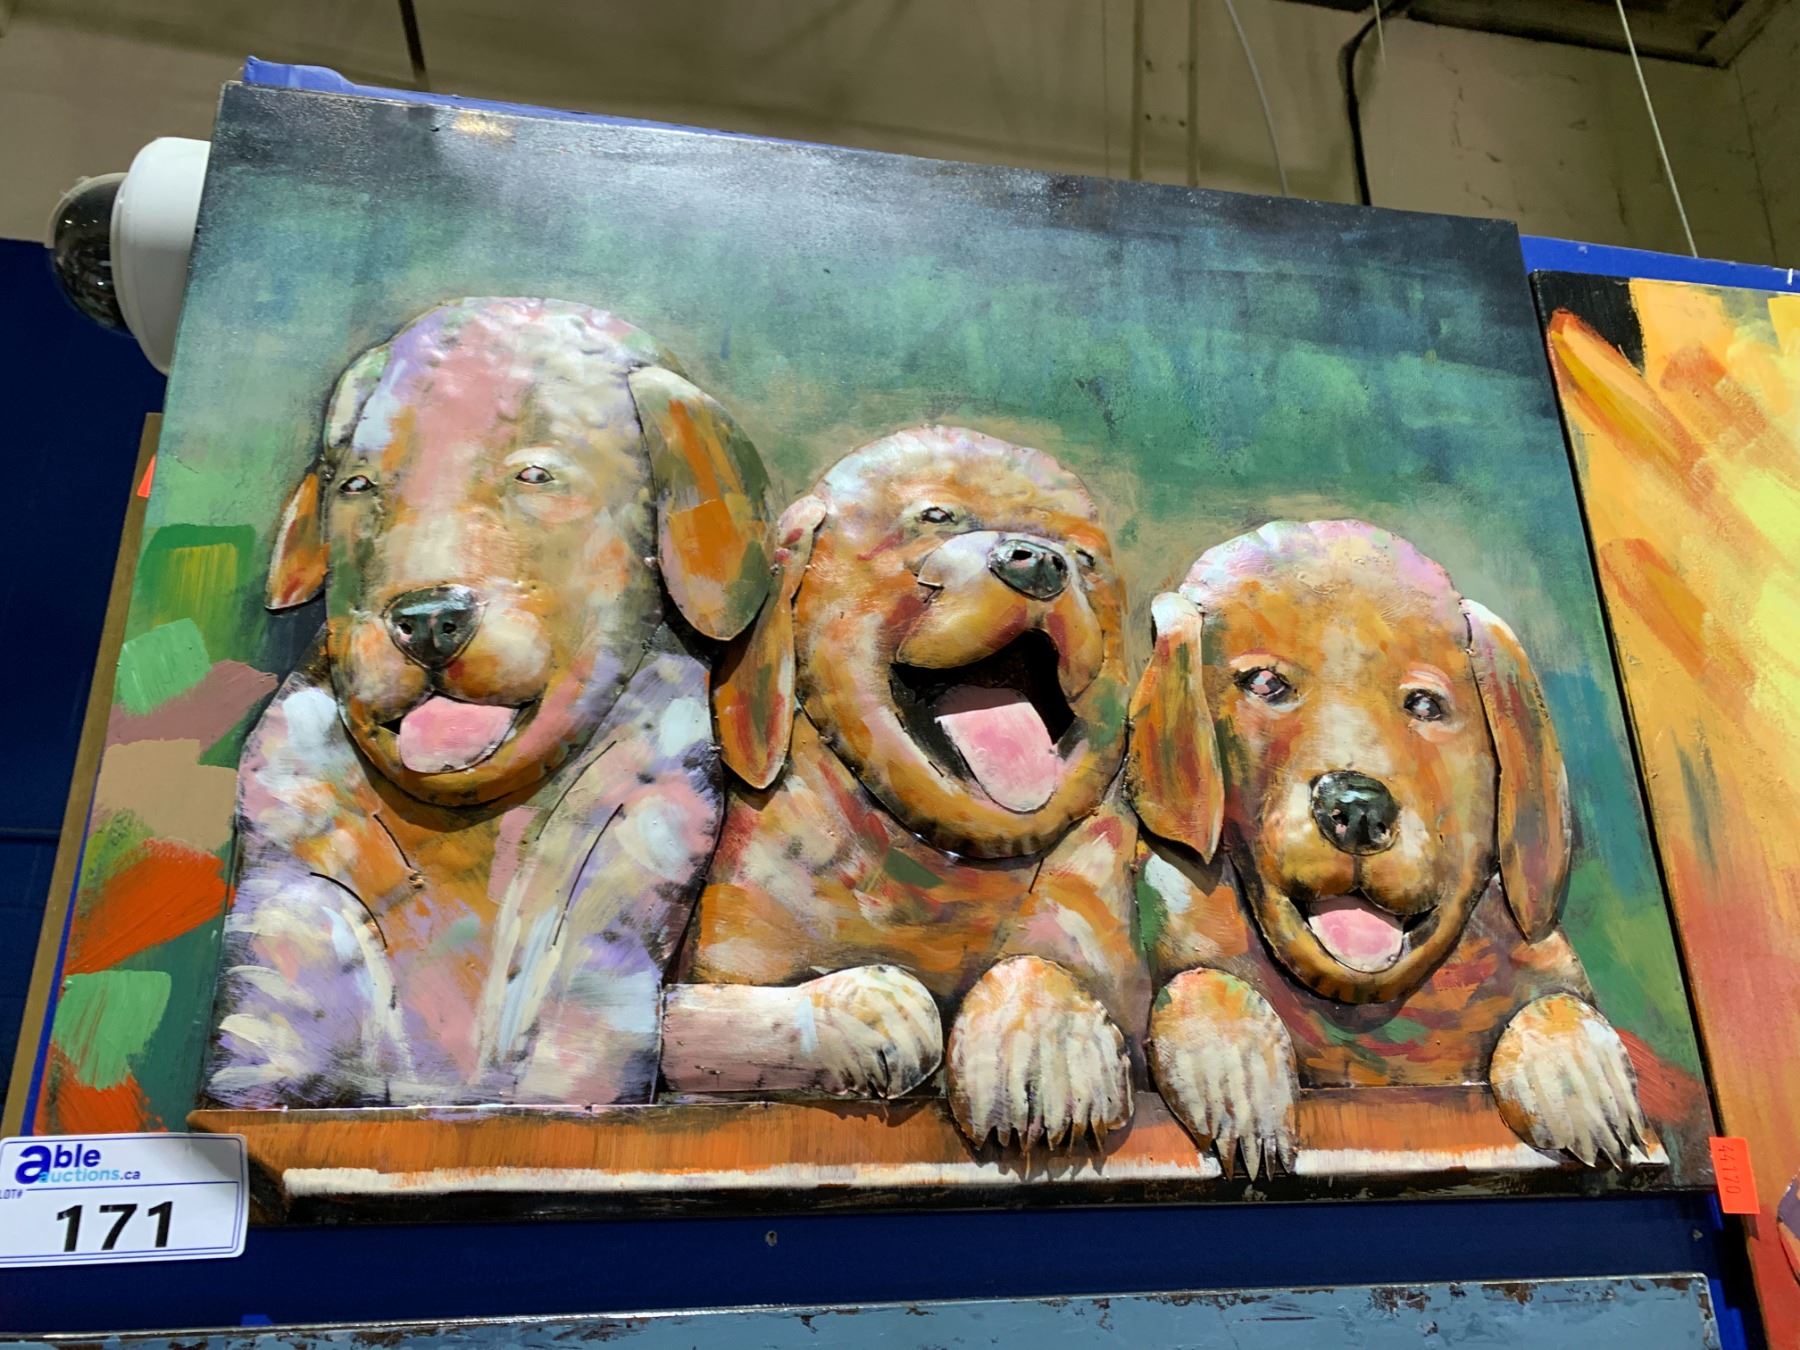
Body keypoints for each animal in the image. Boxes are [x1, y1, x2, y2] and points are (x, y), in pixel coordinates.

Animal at [204, 297, 773, 1108]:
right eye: (357, 487)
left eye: (535, 475)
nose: (426, 619)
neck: (475, 826)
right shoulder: (292, 909)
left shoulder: (622, 881)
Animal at [659, 426, 1148, 1153]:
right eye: (935, 517)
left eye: (1084, 557)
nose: (1038, 563)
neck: (940, 865)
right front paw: (860, 1013)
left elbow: (1045, 965)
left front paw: (1045, 1046)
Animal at [1127, 519, 1650, 1176]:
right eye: (1265, 684)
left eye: (1424, 704)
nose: (1356, 808)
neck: (1365, 1008)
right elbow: (1203, 980)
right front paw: (1237, 1078)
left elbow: (1555, 1005)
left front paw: (1580, 1078)